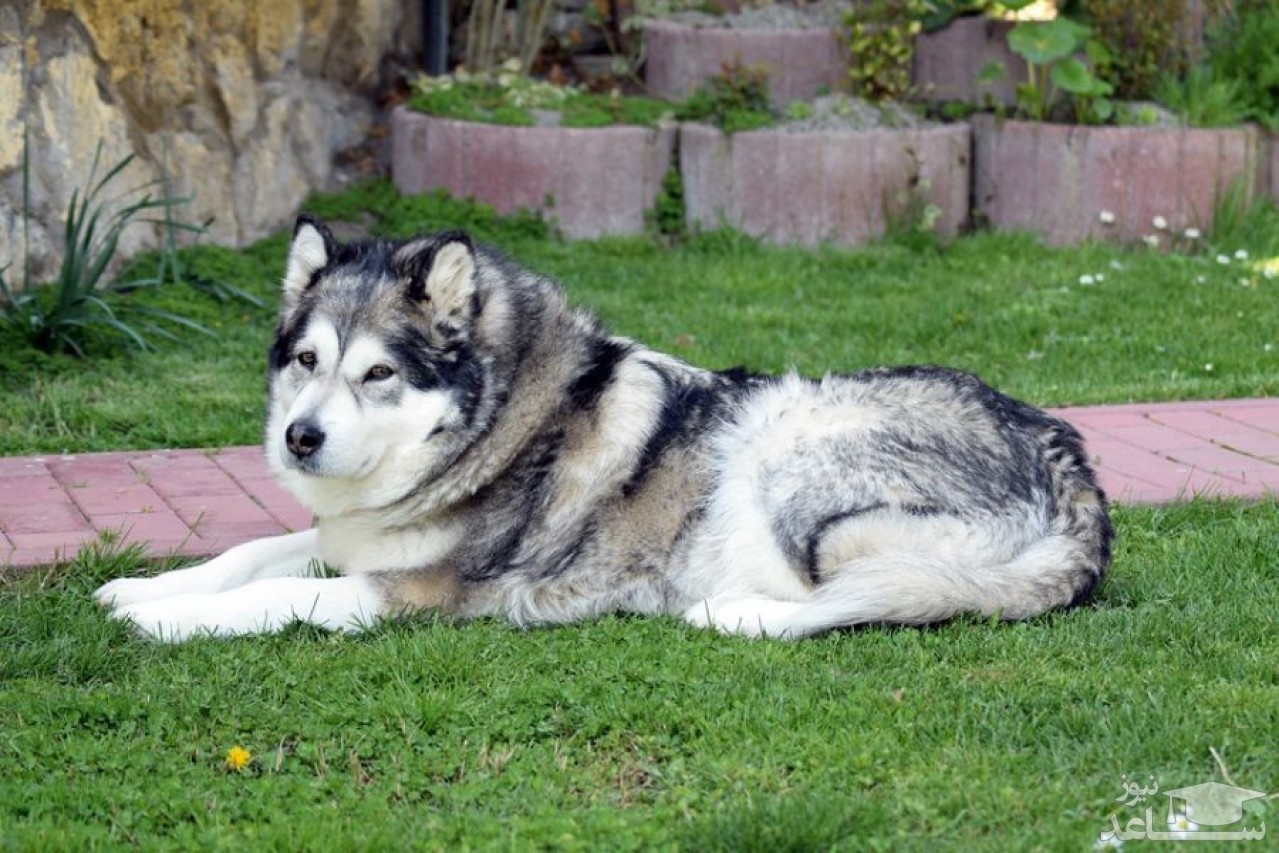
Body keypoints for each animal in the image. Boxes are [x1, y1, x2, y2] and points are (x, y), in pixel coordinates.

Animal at [92, 217, 1110, 644]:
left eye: (378, 373)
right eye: (306, 360)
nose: (299, 439)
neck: (493, 430)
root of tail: (1074, 470)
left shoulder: (419, 590)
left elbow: (277, 595)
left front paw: (166, 620)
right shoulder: (350, 538)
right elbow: (252, 551)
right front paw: (141, 587)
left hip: (786, 454)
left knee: (864, 599)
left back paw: (730, 613)